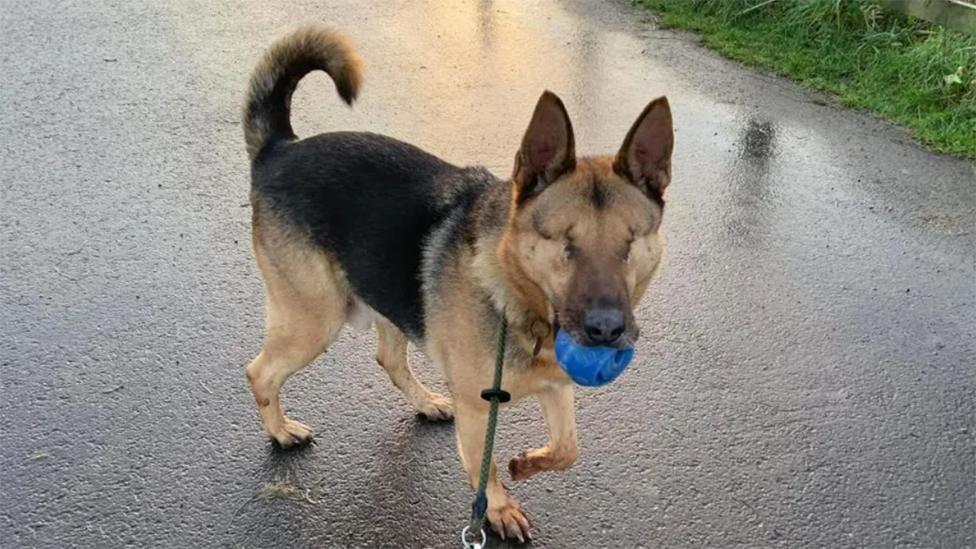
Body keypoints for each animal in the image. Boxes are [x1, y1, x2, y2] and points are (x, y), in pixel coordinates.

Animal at [240, 25, 676, 540]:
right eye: (564, 243)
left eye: (630, 244)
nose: (606, 331)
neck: (517, 298)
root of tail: (281, 148)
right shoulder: (477, 408)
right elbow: (483, 468)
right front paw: (498, 508)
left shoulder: (555, 387)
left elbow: (568, 449)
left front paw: (529, 463)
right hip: (314, 320)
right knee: (261, 372)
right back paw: (280, 431)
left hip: (387, 295)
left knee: (389, 358)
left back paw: (427, 402)